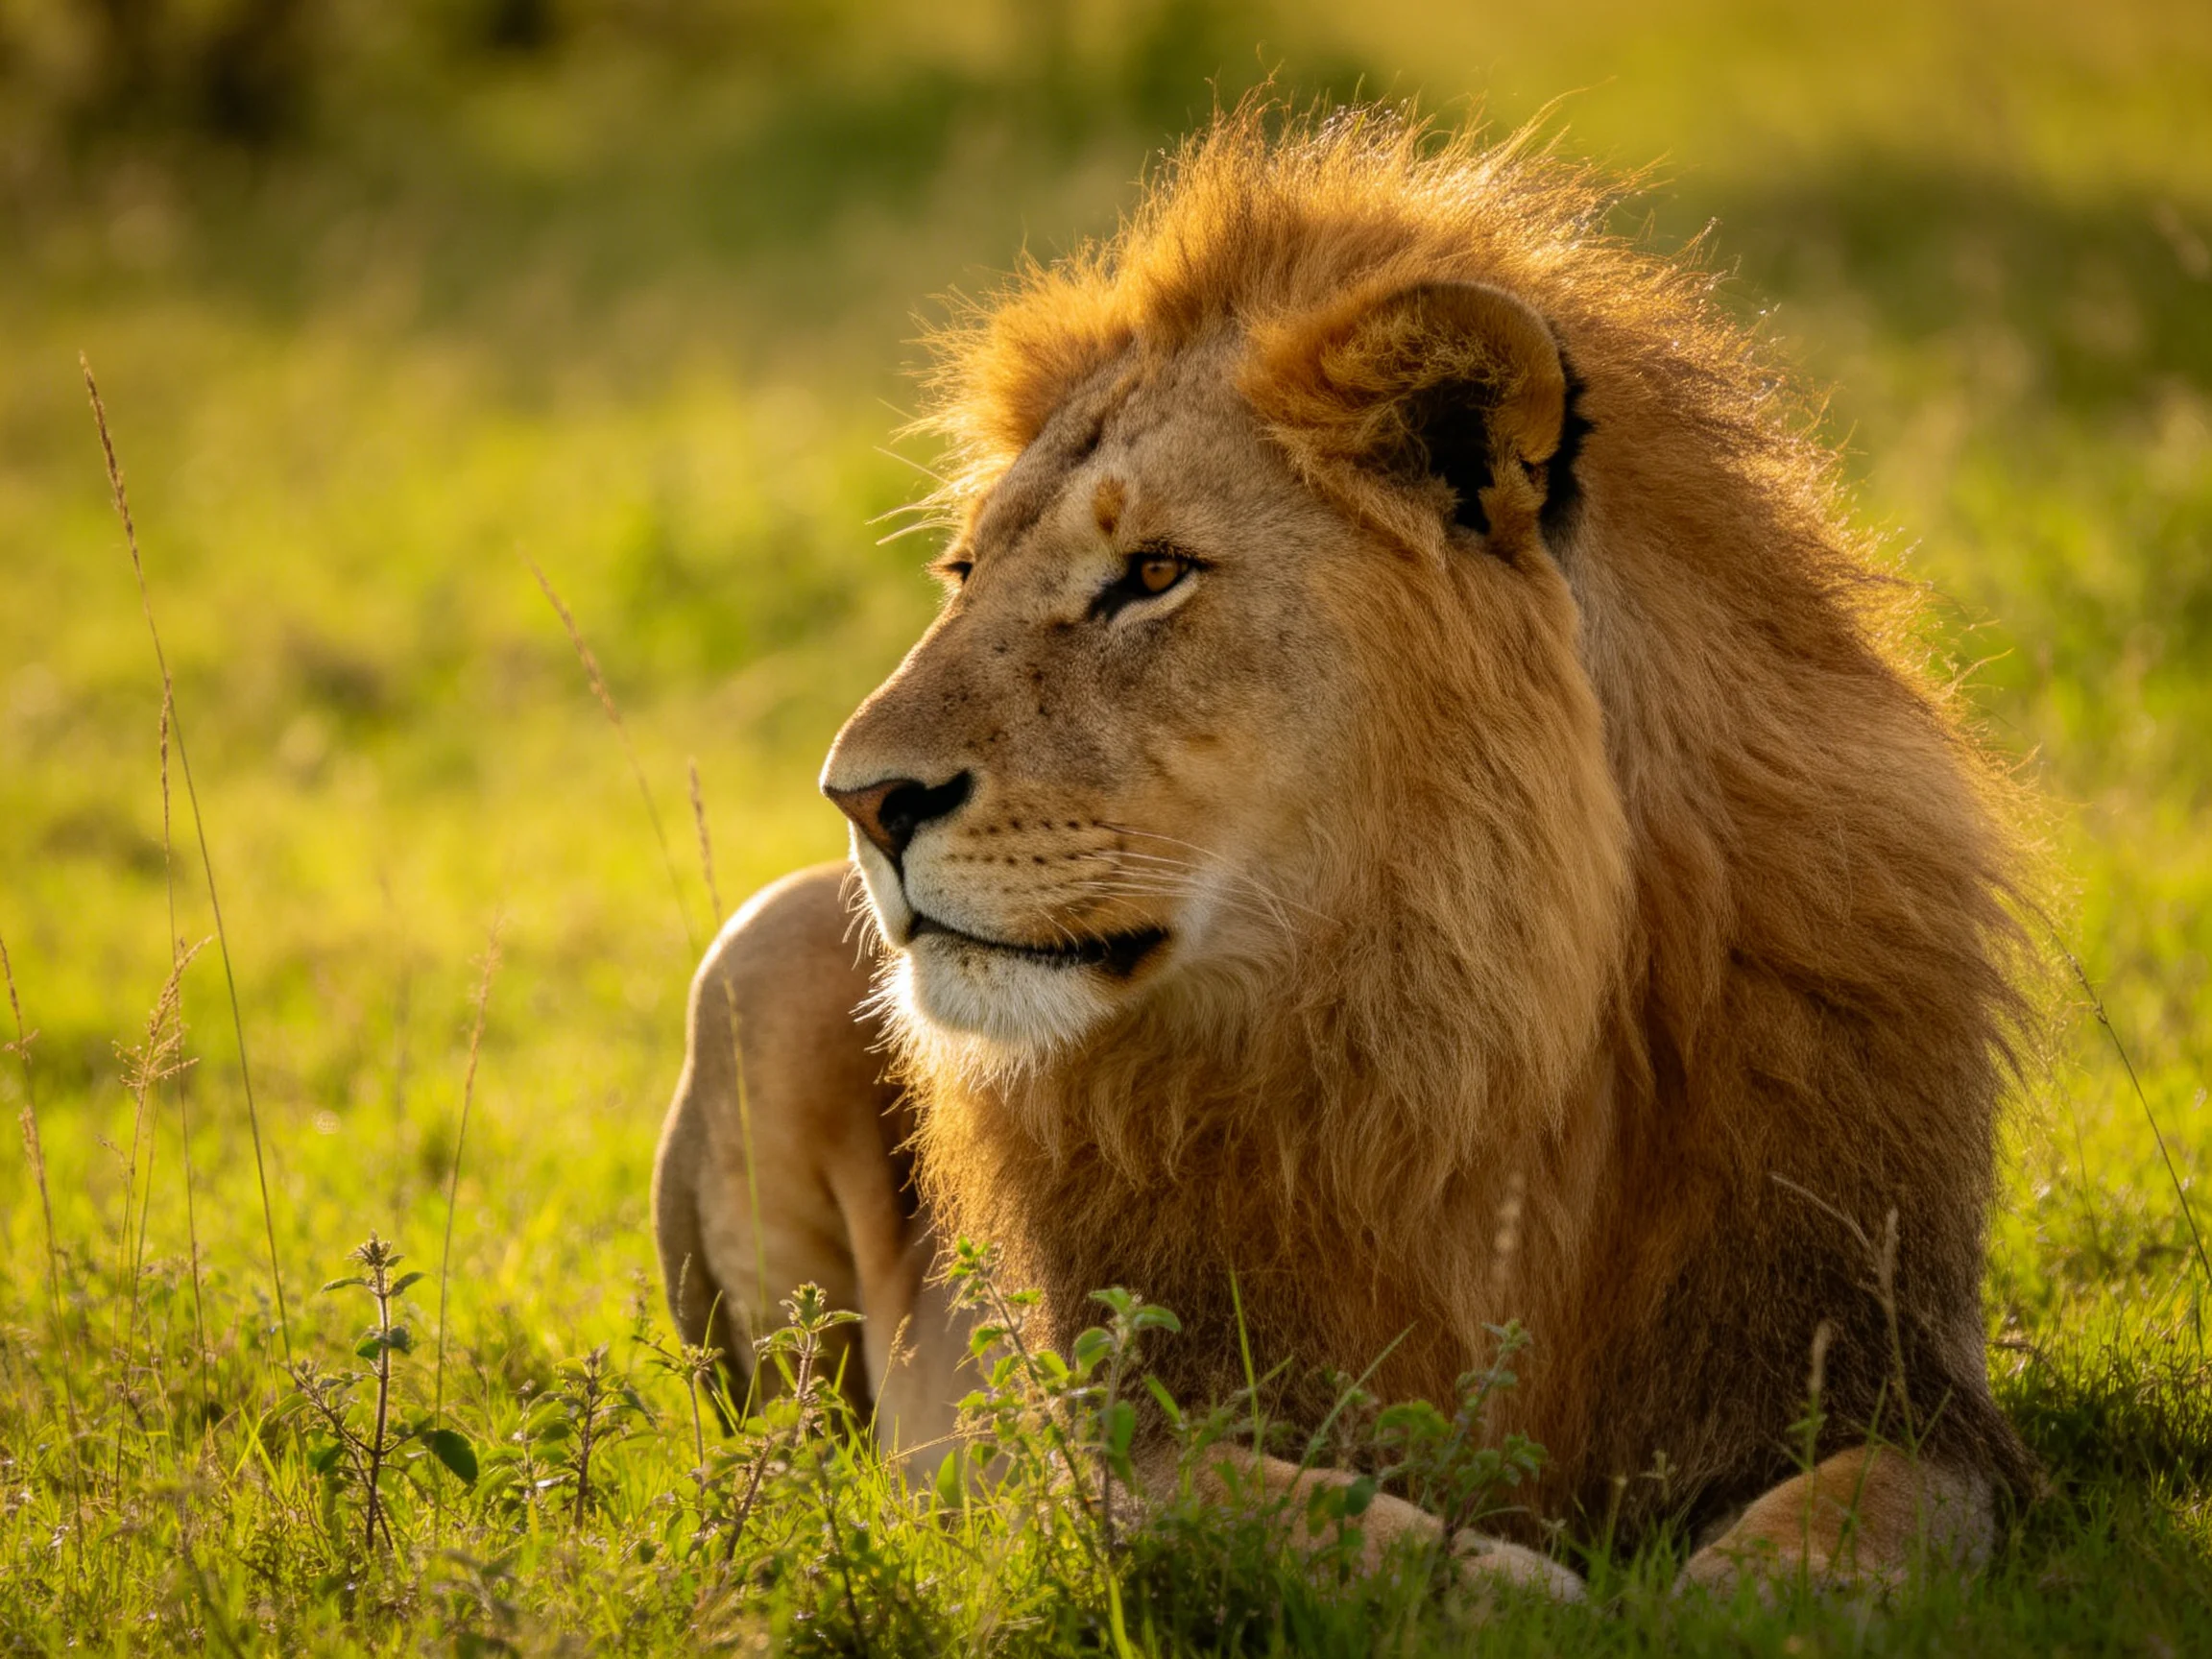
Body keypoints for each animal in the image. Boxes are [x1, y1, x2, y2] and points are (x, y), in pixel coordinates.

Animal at [653, 101, 2033, 1597]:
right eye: (967, 575)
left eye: (1153, 574)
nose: (860, 800)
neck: (1466, 1021)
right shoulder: (1102, 1452)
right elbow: (1302, 1519)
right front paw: (1547, 1597)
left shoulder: (1889, 1376)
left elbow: (1856, 1522)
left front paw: (1720, 1599)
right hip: (762, 966)